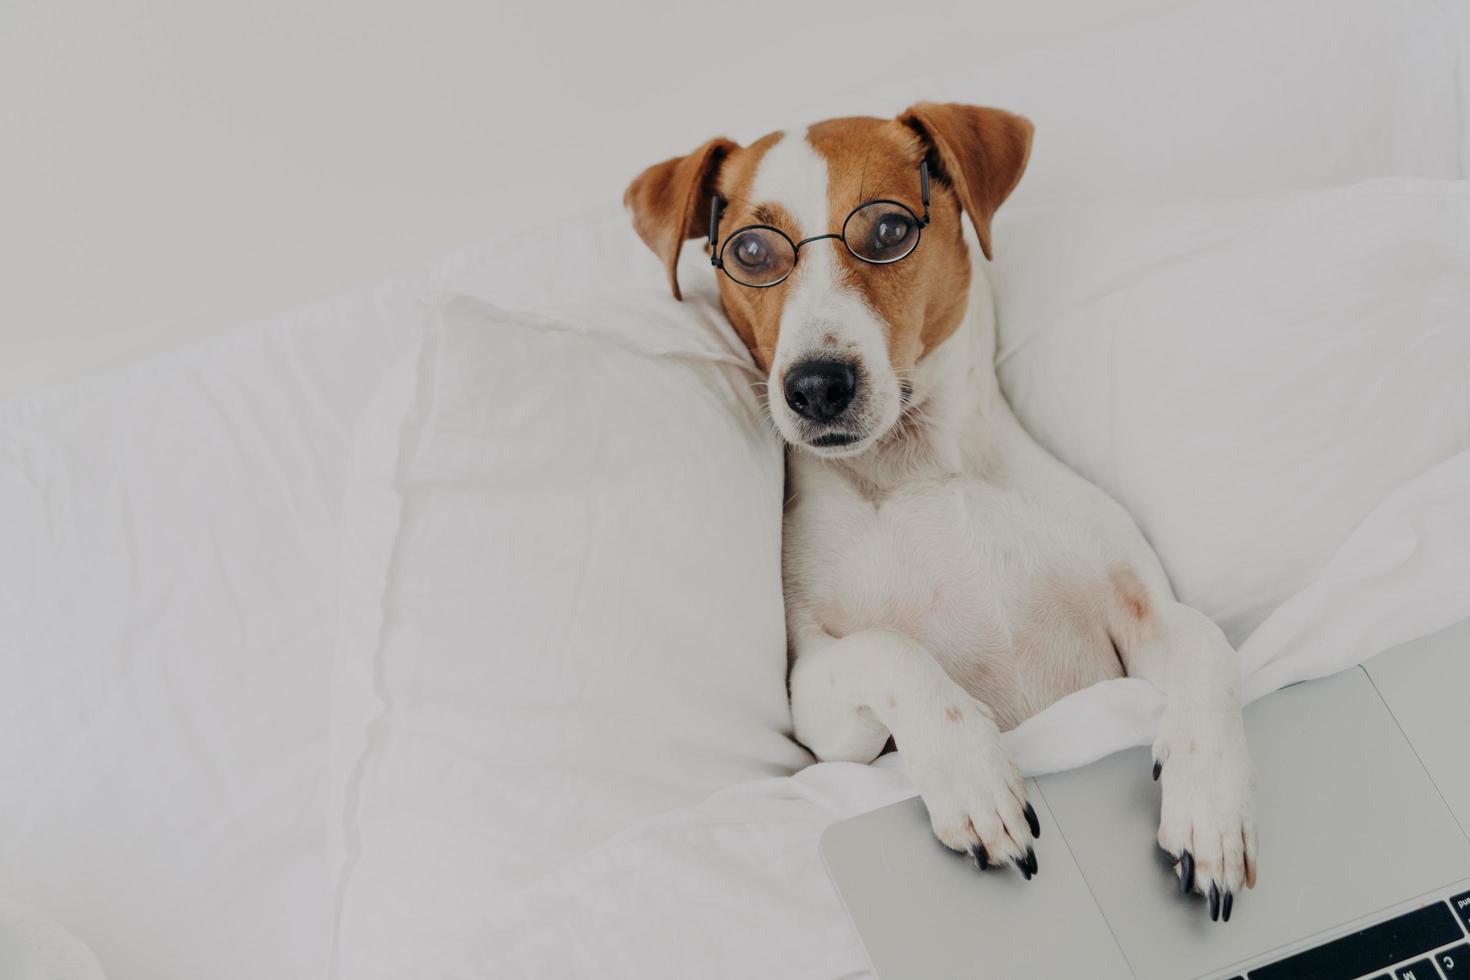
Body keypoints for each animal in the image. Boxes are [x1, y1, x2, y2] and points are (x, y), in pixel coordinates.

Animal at [620, 103, 1252, 922]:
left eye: (890, 229)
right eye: (752, 250)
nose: (816, 385)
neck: (922, 473)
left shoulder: (1144, 618)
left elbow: (1211, 648)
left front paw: (1210, 805)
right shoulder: (823, 718)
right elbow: (889, 650)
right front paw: (972, 774)